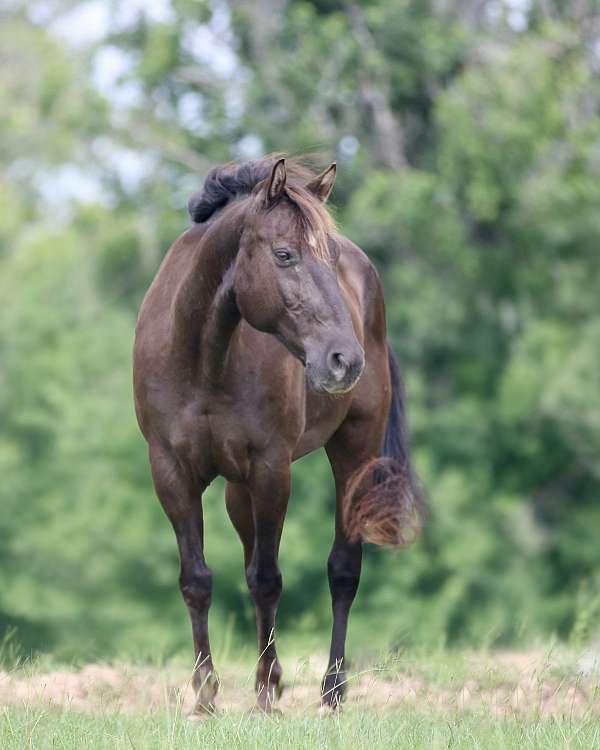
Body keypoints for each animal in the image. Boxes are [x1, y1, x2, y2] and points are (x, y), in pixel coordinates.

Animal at [133, 156, 422, 714]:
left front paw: (267, 691)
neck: (203, 357)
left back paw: (332, 689)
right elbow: (197, 580)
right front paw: (206, 698)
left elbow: (267, 580)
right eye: (284, 254)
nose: (344, 359)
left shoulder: (271, 469)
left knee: (343, 570)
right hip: (236, 489)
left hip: (351, 451)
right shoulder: (171, 472)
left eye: (329, 258)